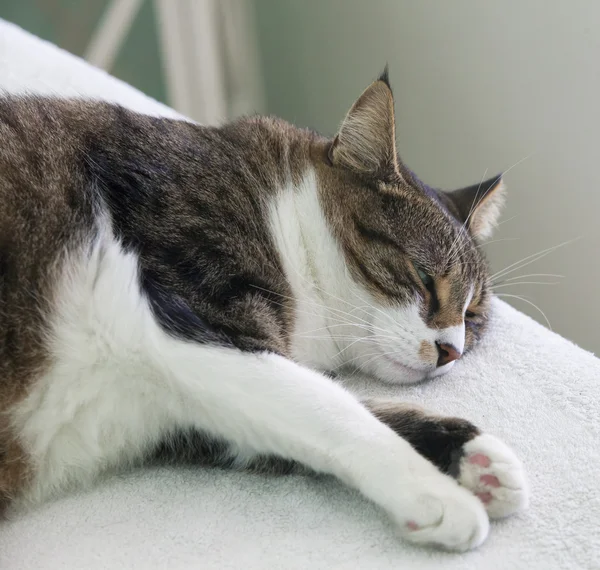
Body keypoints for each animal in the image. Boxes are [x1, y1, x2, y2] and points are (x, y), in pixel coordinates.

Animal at [0, 69, 528, 548]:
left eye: (472, 318)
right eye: (424, 277)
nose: (450, 350)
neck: (280, 223)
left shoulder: (192, 417)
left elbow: (330, 412)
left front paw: (476, 459)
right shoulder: (182, 322)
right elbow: (330, 406)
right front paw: (439, 494)